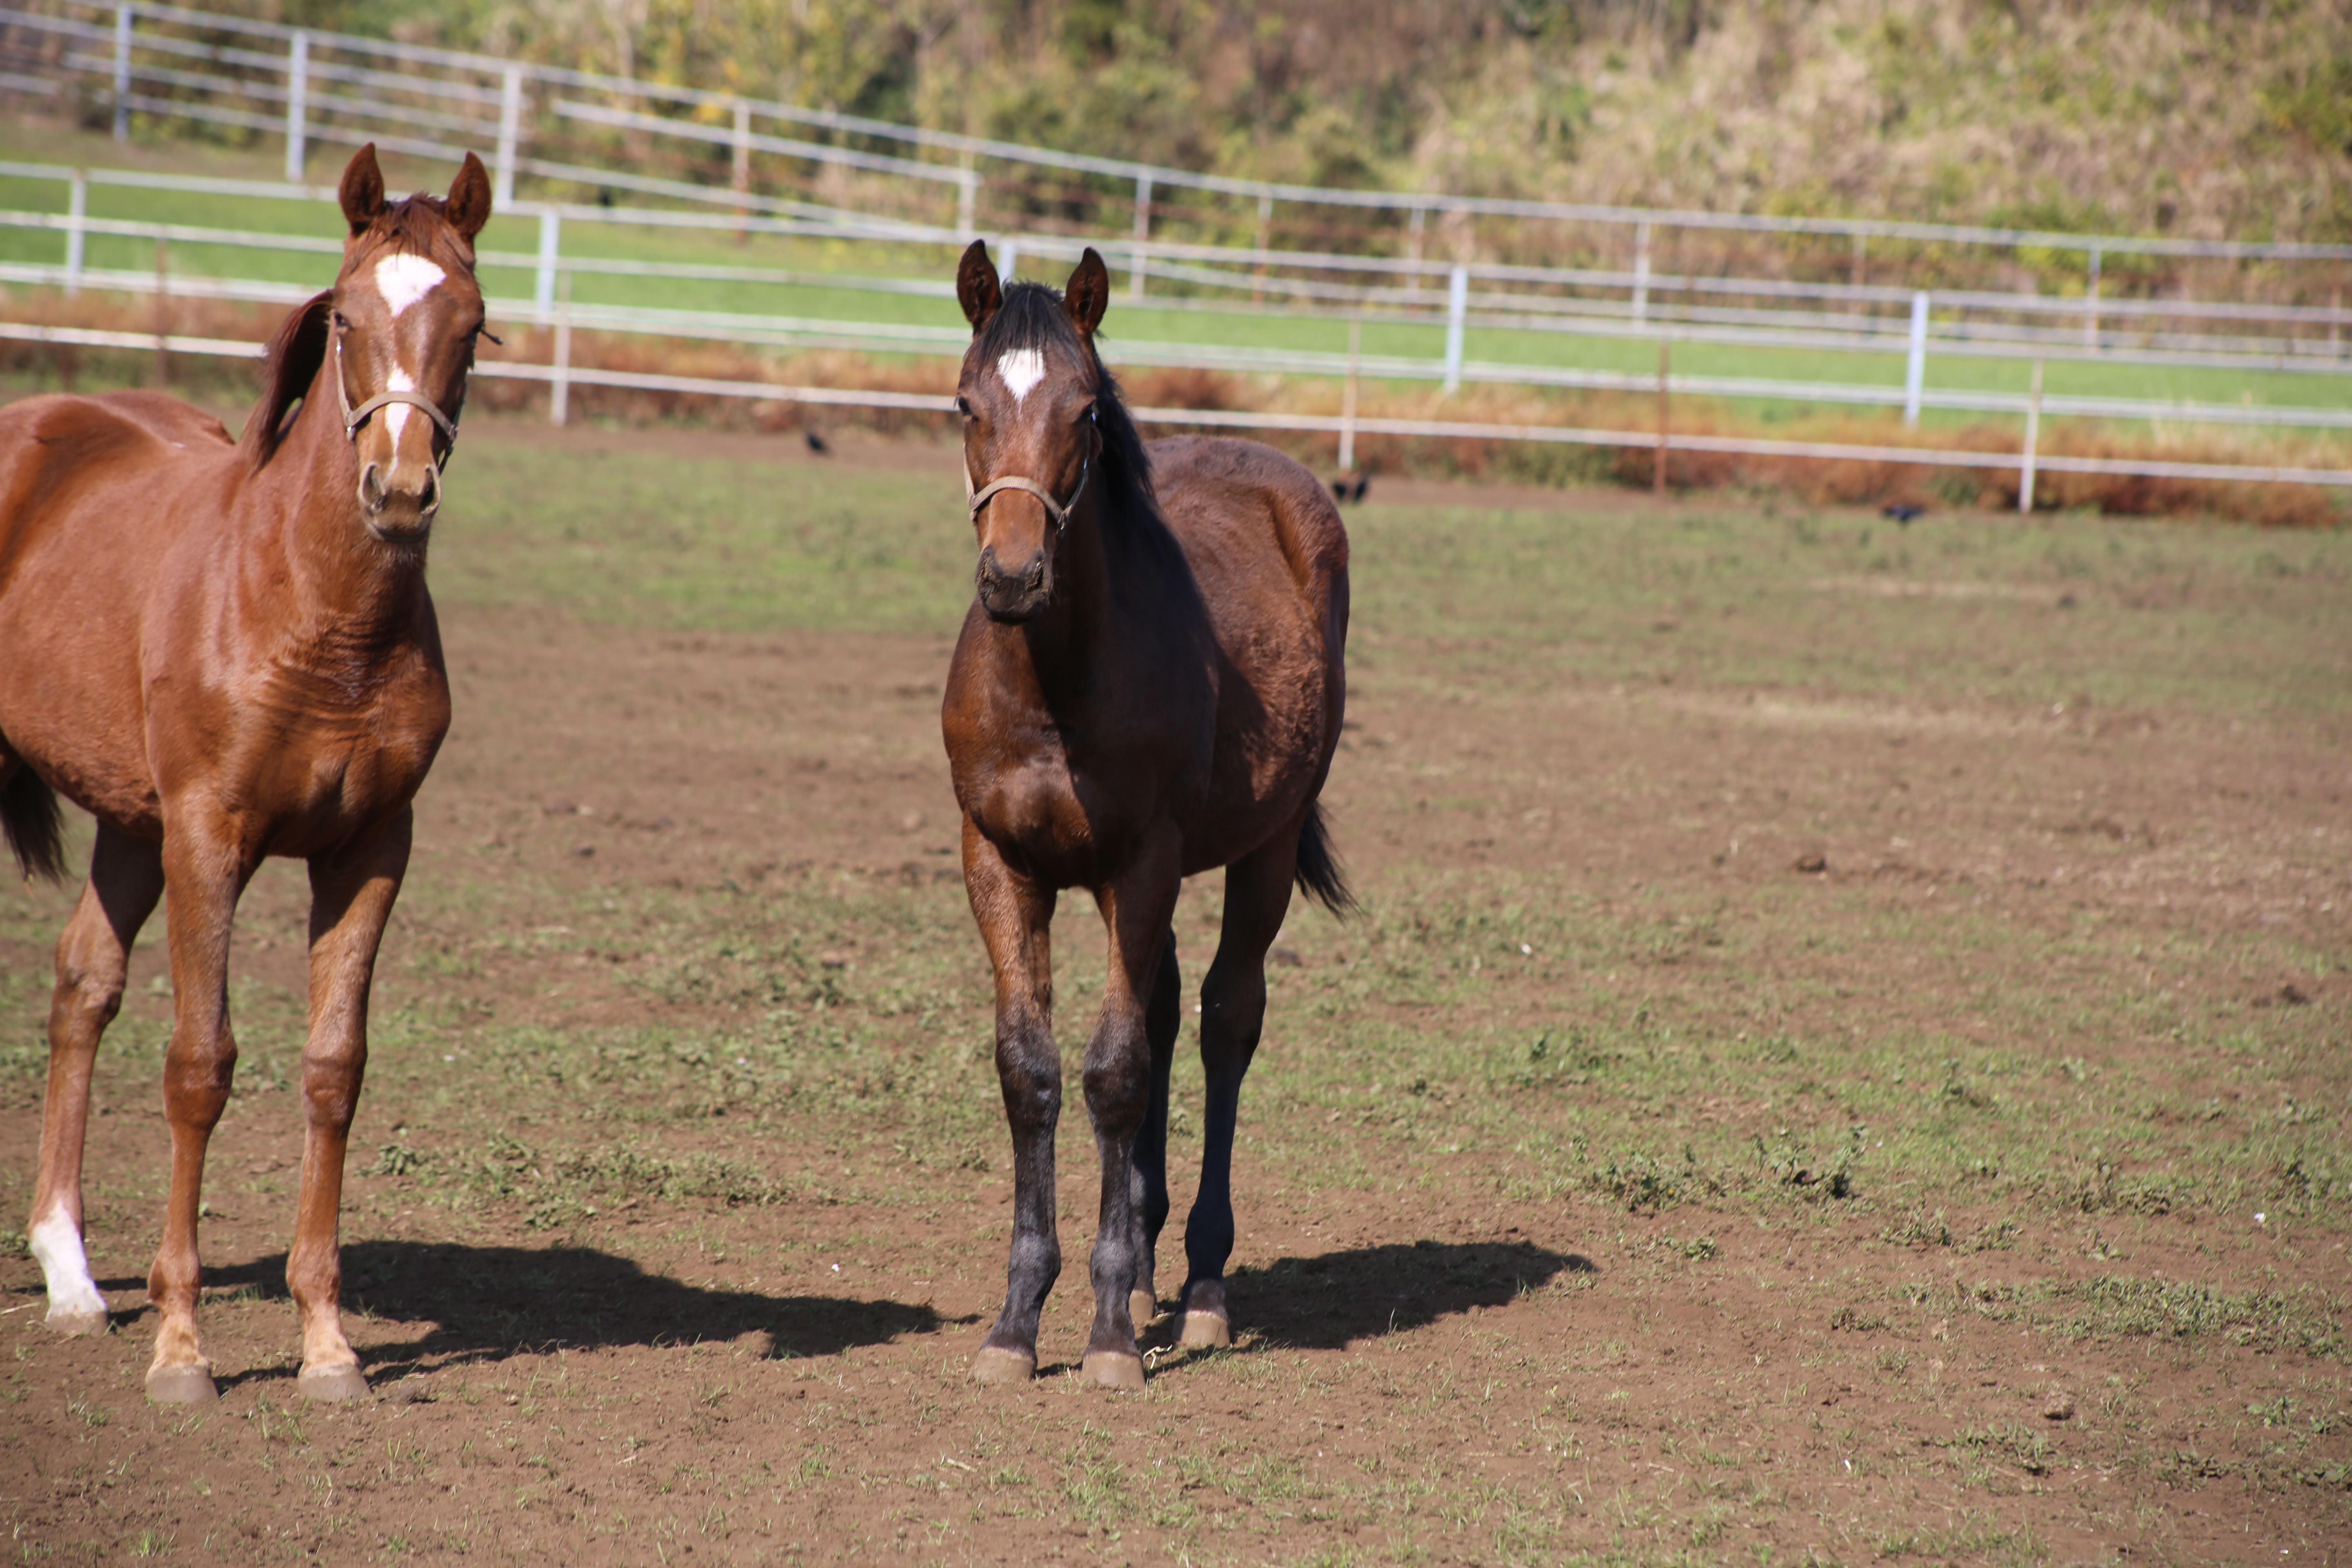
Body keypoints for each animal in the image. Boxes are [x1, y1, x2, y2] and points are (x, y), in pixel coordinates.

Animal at [3, 147, 491, 1410]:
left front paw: (326, 1343)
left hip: (129, 822)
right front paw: (182, 1347)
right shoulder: (209, 837)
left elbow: (333, 1069)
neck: (313, 612)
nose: (398, 490)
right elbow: (199, 1067)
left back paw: (71, 1277)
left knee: (83, 985)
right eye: (347, 319)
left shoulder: (368, 850)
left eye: (470, 324)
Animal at [936, 242, 1345, 1382]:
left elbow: (1113, 1073)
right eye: (965, 403)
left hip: (1262, 847)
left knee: (1222, 1020)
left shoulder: (1144, 861)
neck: (1054, 682)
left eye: (1083, 412)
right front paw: (1018, 1321)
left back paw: (1198, 1285)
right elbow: (1029, 1070)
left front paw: (1109, 1336)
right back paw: (1152, 1265)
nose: (1013, 576)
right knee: (1163, 1013)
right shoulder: (998, 861)